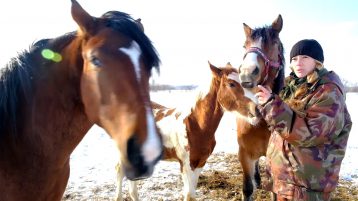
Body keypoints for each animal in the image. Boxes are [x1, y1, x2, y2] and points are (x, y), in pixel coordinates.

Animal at [114, 62, 258, 200]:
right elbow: (189, 195)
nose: (256, 109)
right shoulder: (186, 165)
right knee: (120, 171)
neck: (196, 125)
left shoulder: (200, 163)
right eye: (231, 84)